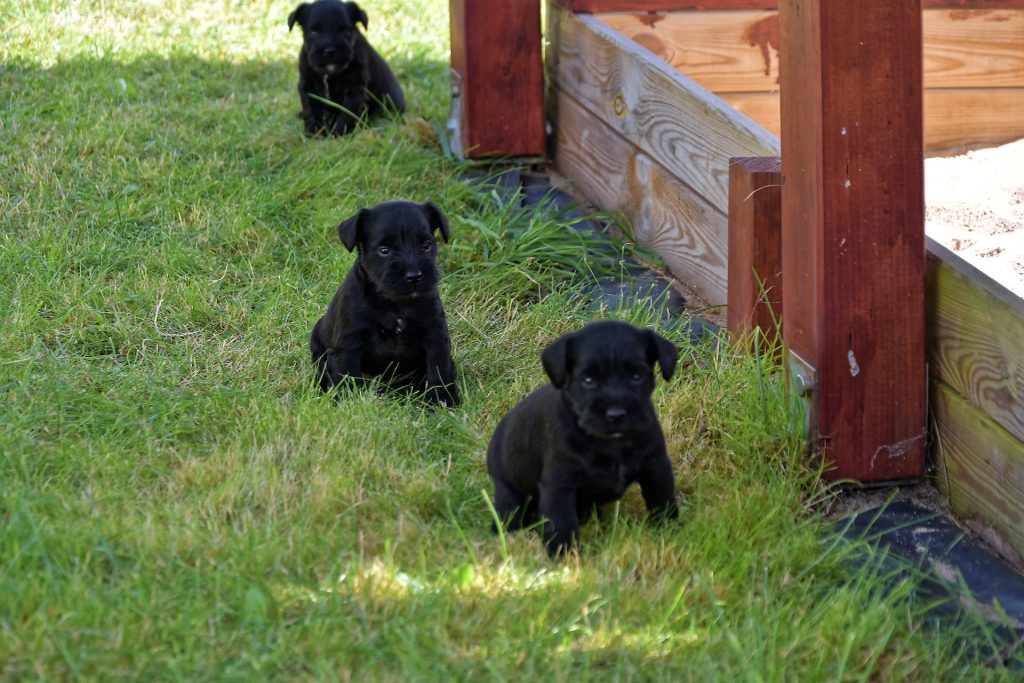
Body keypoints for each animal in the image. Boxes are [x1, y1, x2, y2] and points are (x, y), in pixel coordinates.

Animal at [286, 0, 405, 136]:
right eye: (313, 33)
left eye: (345, 32)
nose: (329, 50)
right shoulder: (308, 86)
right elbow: (311, 110)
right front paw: (314, 132)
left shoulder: (354, 87)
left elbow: (347, 112)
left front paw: (339, 133)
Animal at [307, 198, 460, 405]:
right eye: (384, 251)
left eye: (426, 245)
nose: (414, 276)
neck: (395, 304)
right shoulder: (349, 341)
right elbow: (347, 374)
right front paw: (349, 403)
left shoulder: (435, 334)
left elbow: (439, 369)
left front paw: (442, 400)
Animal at [487, 321, 679, 557]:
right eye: (588, 380)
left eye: (636, 376)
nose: (616, 415)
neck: (612, 443)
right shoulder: (559, 485)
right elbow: (562, 523)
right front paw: (564, 556)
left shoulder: (656, 466)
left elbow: (663, 500)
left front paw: (669, 532)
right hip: (509, 492)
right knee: (508, 514)